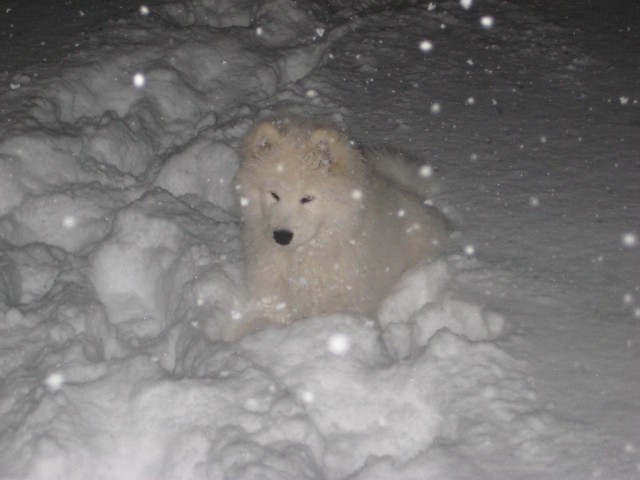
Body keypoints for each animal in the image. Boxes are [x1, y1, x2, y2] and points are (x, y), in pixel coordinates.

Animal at [232, 118, 448, 324]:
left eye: (307, 198)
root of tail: (415, 194)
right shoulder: (270, 296)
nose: (281, 236)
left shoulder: (347, 302)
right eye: (274, 195)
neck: (301, 258)